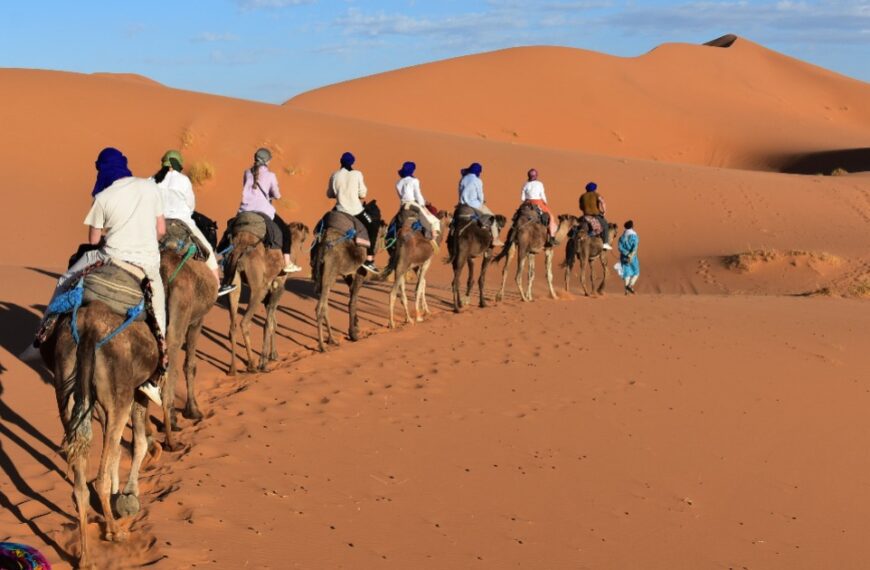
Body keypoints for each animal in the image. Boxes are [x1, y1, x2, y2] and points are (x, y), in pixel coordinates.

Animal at [41, 304, 158, 564]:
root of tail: (88, 332)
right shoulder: (143, 387)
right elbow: (139, 442)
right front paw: (129, 496)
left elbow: (118, 449)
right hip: (119, 395)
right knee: (100, 478)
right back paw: (115, 532)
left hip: (67, 387)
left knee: (80, 485)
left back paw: (85, 558)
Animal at [225, 220, 310, 370]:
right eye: (304, 231)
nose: (310, 230)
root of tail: (240, 256)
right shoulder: (278, 286)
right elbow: (269, 323)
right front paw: (264, 361)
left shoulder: (270, 292)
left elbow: (273, 322)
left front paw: (273, 355)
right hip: (259, 288)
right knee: (244, 322)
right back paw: (252, 365)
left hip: (233, 279)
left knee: (233, 325)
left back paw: (232, 369)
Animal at [312, 221, 384, 350]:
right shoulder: (360, 270)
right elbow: (353, 300)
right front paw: (353, 334)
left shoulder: (347, 274)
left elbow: (351, 292)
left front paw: (356, 325)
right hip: (330, 271)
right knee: (320, 307)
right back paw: (322, 346)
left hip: (322, 273)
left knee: (325, 306)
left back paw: (332, 340)